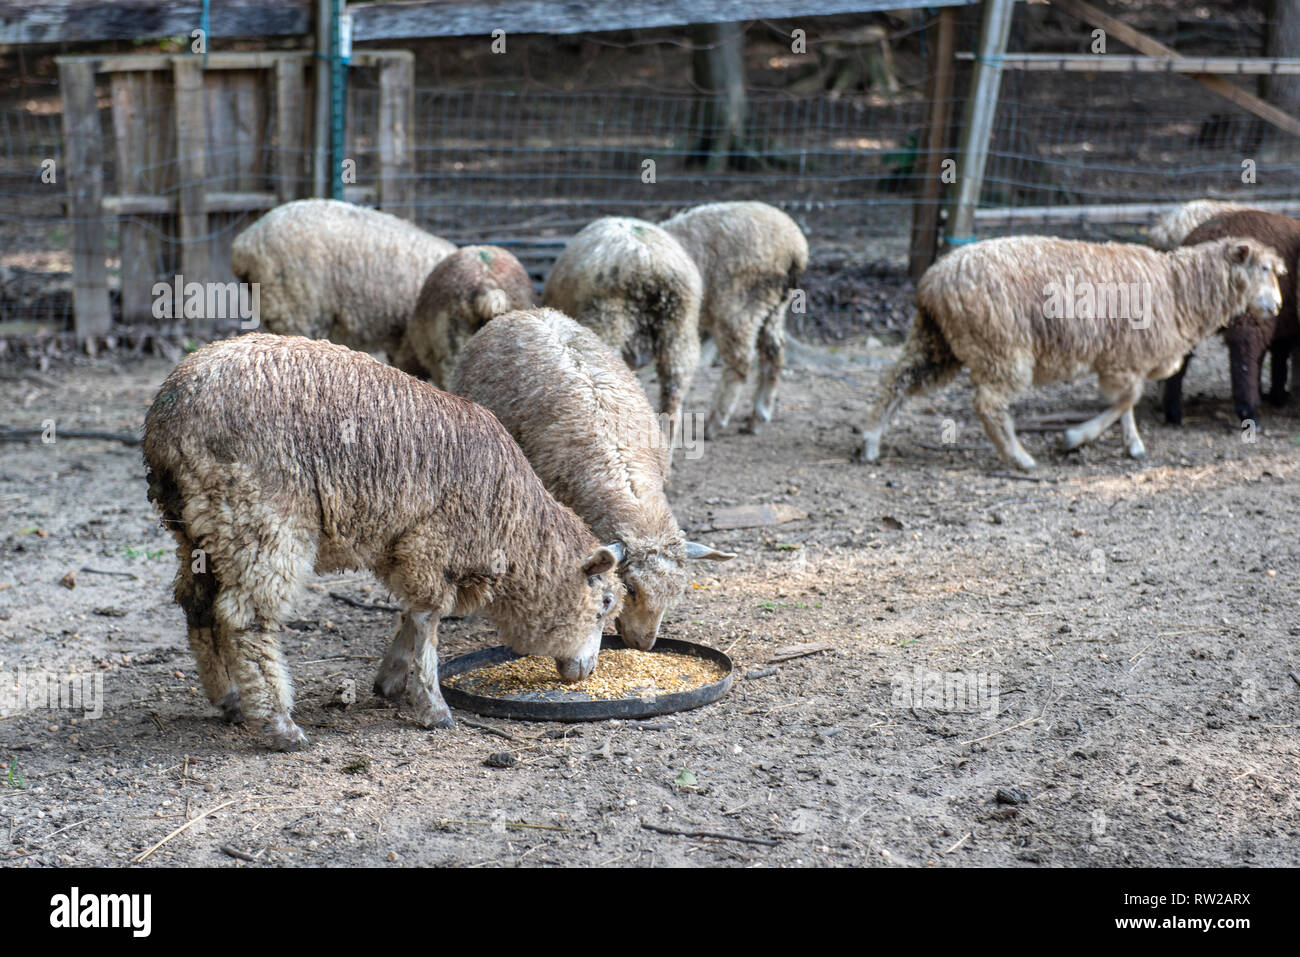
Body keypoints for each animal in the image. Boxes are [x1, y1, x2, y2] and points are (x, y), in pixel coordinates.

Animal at [143, 333, 623, 751]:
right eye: (604, 605)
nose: (586, 672)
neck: (516, 525)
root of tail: (169, 415)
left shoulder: (406, 549)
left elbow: (411, 615)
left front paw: (390, 680)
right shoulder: (433, 544)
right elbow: (428, 619)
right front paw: (432, 706)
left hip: (199, 528)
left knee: (197, 604)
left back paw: (228, 698)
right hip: (261, 516)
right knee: (247, 618)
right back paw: (280, 725)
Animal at [661, 201, 809, 438]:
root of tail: (795, 249)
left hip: (738, 307)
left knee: (741, 362)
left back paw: (715, 422)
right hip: (775, 308)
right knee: (774, 353)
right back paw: (758, 416)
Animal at [859, 235, 1287, 471]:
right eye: (1264, 269)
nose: (1279, 306)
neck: (1181, 288)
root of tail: (934, 280)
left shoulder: (1128, 356)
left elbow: (1127, 404)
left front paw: (1133, 444)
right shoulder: (1122, 358)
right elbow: (1125, 400)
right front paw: (1075, 437)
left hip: (936, 341)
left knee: (897, 382)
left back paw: (870, 442)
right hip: (1002, 347)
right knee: (987, 403)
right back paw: (1018, 457)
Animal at [1161, 210, 1300, 425]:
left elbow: (1276, 356)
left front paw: (1273, 394)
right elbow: (1276, 358)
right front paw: (1276, 396)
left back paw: (1172, 412)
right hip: (1249, 315)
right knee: (1244, 355)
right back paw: (1247, 410)